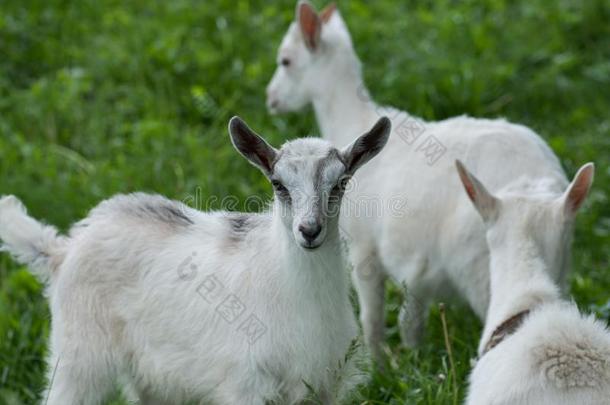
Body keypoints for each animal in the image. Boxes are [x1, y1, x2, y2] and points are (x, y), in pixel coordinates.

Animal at [0, 116, 390, 404]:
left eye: (340, 184)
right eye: (278, 185)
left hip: (153, 377)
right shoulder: (244, 384)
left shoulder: (323, 384)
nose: (309, 231)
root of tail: (64, 249)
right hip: (79, 355)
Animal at [264, 1, 568, 358]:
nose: (271, 100)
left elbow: (371, 315)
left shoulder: (364, 247)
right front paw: (410, 358)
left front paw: (377, 362)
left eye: (286, 60)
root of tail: (546, 185)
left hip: (480, 266)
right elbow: (411, 320)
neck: (351, 120)